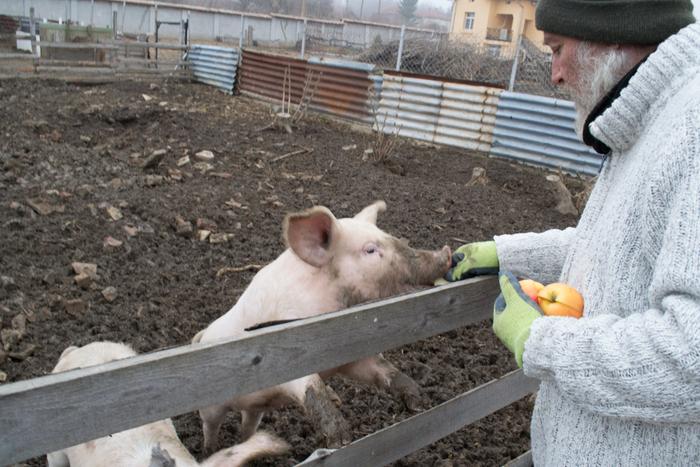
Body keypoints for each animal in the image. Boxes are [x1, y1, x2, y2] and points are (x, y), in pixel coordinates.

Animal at [194, 201, 452, 454]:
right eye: (370, 250)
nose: (447, 252)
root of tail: (203, 336)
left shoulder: (353, 357)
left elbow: (386, 371)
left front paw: (421, 401)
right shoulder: (285, 357)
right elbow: (313, 387)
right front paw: (341, 440)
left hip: (255, 406)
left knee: (248, 423)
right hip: (211, 407)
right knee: (210, 428)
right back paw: (209, 452)